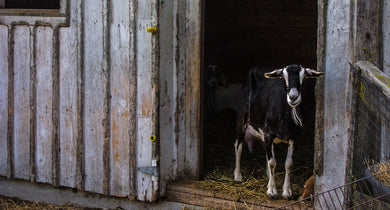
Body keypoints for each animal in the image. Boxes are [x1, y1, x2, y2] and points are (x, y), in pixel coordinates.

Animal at [235, 65, 322, 199]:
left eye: (305, 77)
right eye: (283, 77)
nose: (293, 97)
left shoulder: (295, 138)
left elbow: (289, 163)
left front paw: (287, 192)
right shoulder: (269, 134)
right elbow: (272, 163)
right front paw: (272, 191)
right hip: (242, 116)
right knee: (238, 146)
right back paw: (238, 176)